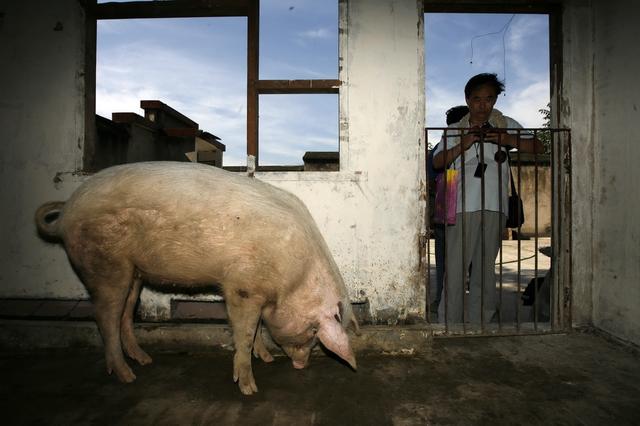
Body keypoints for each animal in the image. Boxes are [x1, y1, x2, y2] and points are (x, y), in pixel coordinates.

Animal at [35, 161, 358, 394]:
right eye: (313, 332)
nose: (301, 365)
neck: (292, 279)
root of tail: (66, 212)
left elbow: (255, 329)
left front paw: (266, 358)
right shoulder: (241, 287)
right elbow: (244, 332)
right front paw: (249, 388)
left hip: (133, 272)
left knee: (125, 313)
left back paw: (144, 360)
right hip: (105, 263)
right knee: (105, 317)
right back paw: (128, 377)